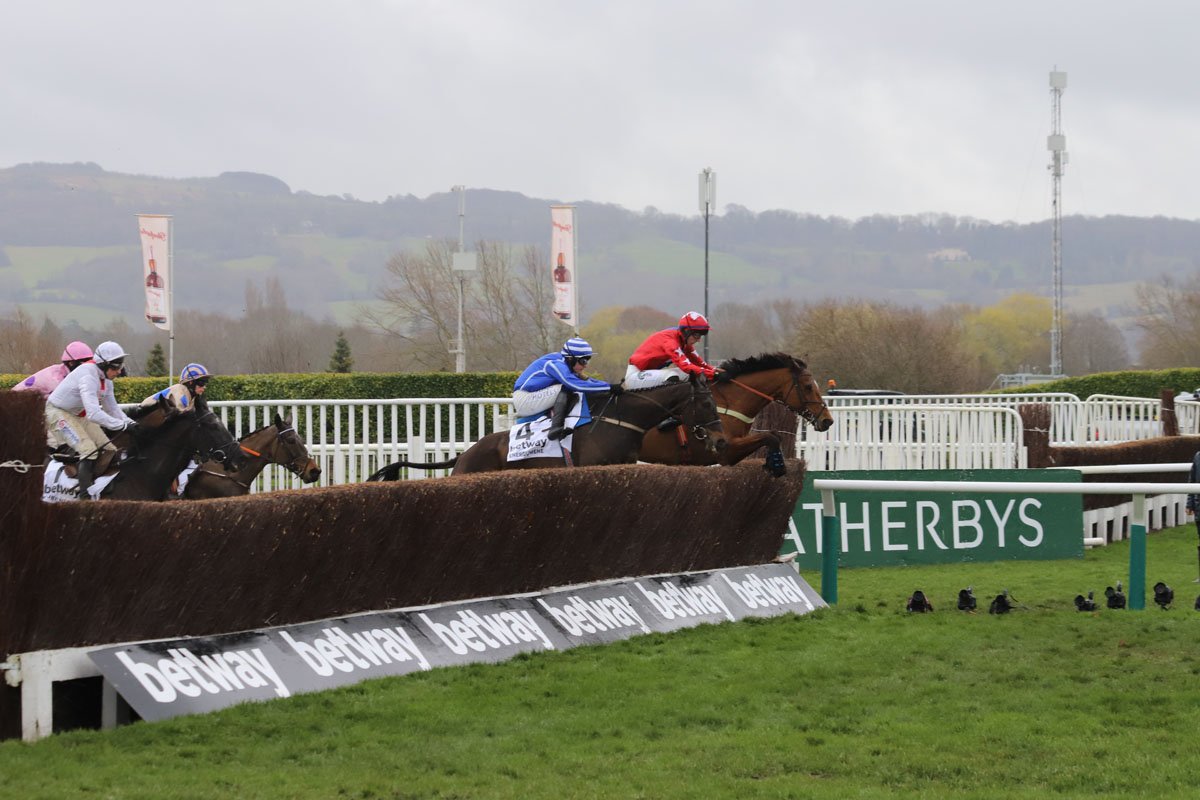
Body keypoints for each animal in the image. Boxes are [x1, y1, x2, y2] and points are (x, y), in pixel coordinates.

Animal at [638, 353, 834, 470]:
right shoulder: (725, 451)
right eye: (808, 387)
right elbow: (770, 436)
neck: (729, 402)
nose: (828, 420)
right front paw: (776, 465)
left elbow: (774, 435)